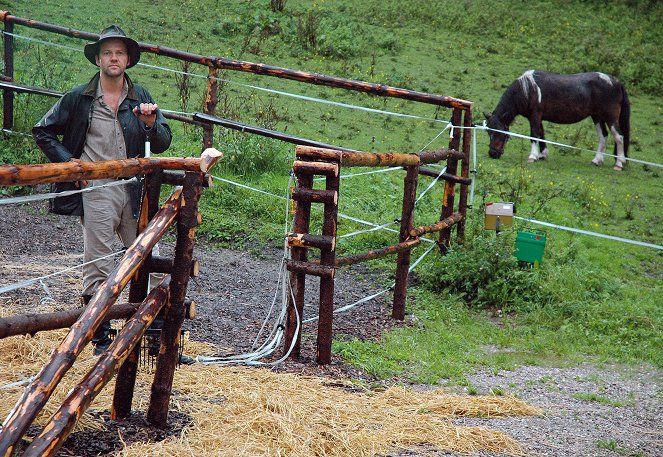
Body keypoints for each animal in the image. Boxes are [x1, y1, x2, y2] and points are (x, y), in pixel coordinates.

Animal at [482, 70, 632, 170]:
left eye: (499, 132)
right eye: (489, 132)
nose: (492, 153)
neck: (529, 89)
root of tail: (616, 82)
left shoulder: (535, 116)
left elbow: (534, 135)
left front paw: (532, 156)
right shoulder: (538, 118)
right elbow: (541, 135)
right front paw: (542, 155)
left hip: (610, 117)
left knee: (619, 136)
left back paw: (619, 163)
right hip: (597, 117)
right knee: (603, 136)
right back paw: (596, 160)